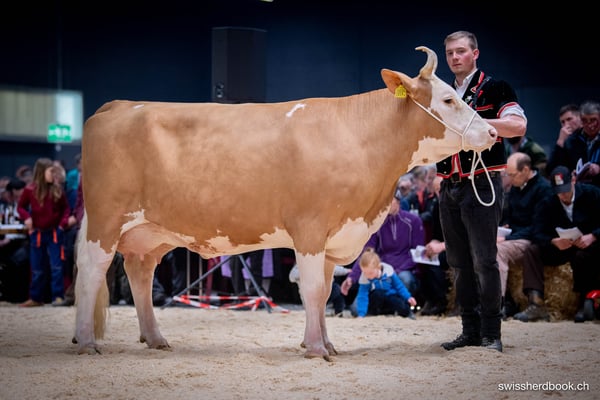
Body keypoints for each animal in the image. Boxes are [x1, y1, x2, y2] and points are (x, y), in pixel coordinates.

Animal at [74, 46, 497, 361]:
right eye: (448, 99)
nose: (493, 132)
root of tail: (118, 105)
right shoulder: (309, 228)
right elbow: (310, 290)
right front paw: (315, 348)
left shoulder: (333, 238)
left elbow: (324, 293)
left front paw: (326, 343)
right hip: (106, 220)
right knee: (92, 272)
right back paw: (87, 341)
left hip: (150, 233)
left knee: (140, 274)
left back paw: (155, 337)